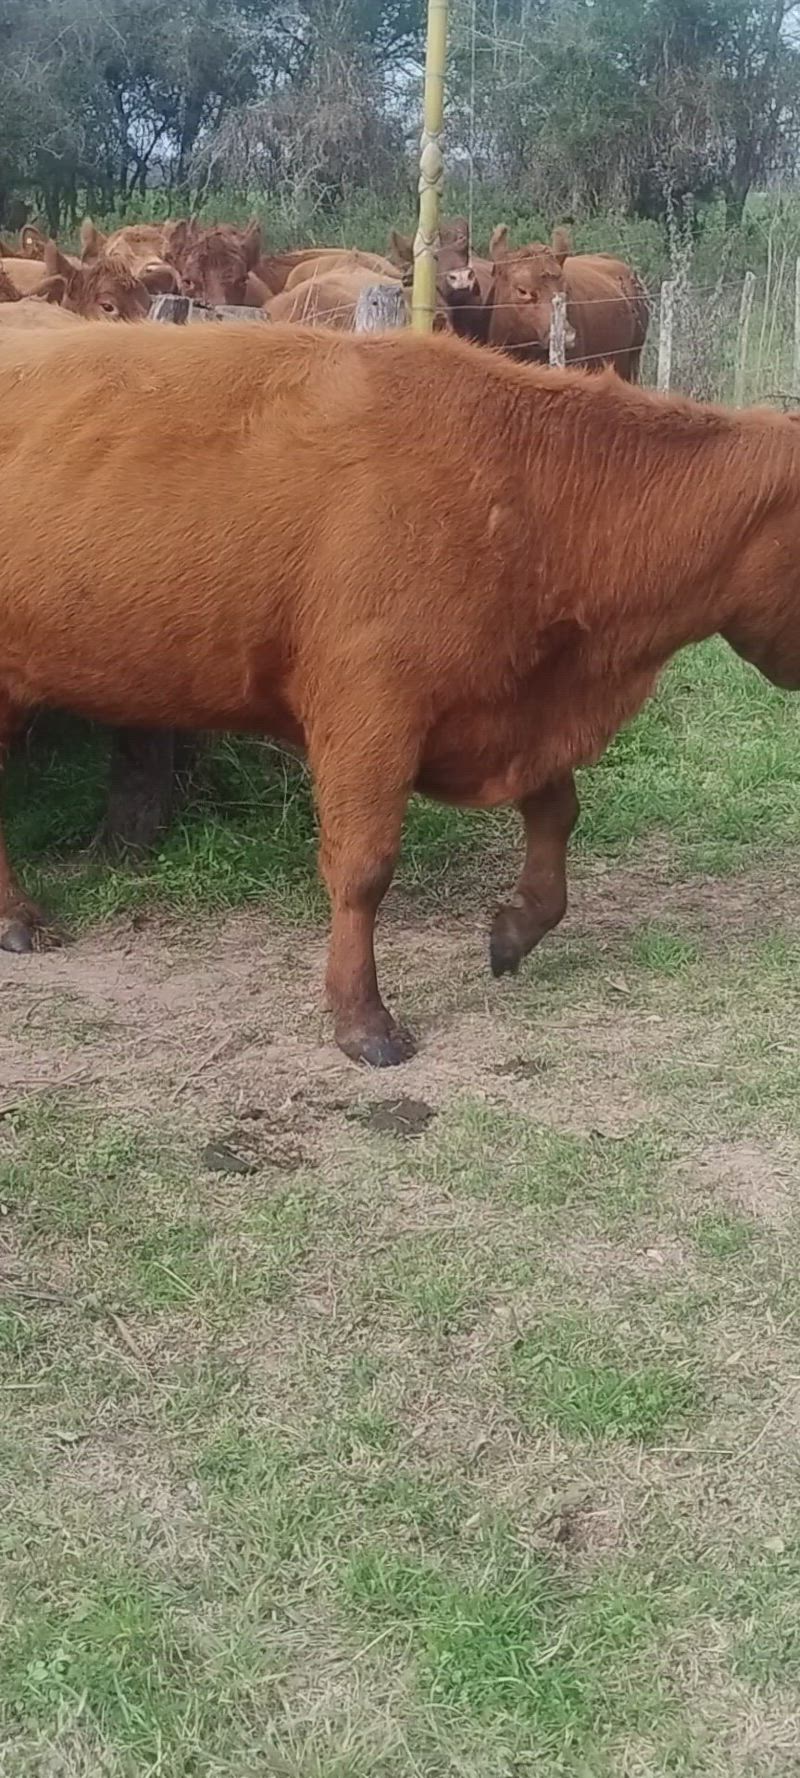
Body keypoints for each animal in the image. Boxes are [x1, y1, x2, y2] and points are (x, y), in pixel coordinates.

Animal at [0, 322, 798, 1066]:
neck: (526, 495)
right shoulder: (370, 715)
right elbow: (364, 868)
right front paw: (363, 1021)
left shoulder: (513, 704)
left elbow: (555, 815)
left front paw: (515, 931)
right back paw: (20, 918)